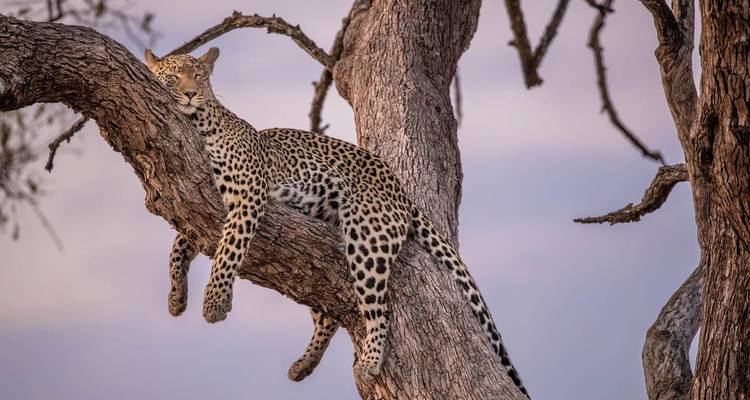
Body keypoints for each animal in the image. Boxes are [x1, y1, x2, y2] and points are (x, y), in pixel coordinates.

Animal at [145, 47, 529, 397]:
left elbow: (227, 251)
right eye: (173, 76)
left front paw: (215, 303)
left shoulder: (246, 197)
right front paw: (176, 298)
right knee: (327, 314)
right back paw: (304, 365)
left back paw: (370, 362)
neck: (199, 123)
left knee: (380, 308)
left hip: (367, 240)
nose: (191, 93)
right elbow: (178, 246)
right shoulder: (196, 199)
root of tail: (400, 189)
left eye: (200, 76)